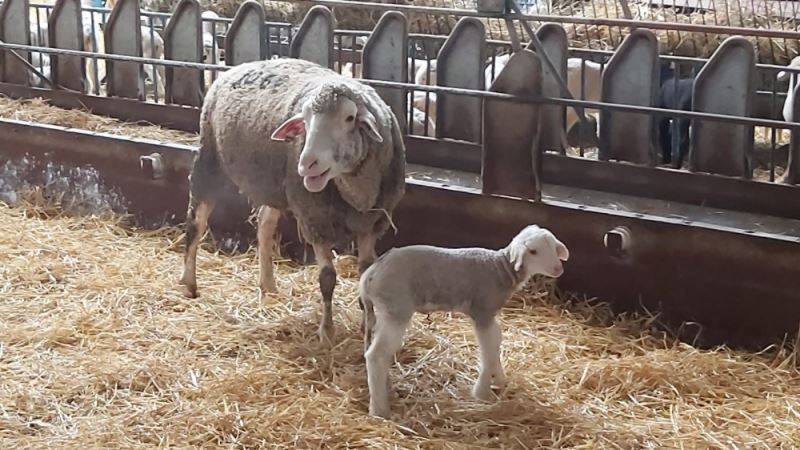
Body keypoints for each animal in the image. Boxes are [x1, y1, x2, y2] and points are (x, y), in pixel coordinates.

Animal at [181, 58, 406, 342]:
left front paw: (369, 327)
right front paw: (326, 331)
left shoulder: (372, 224)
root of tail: (240, 66)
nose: (306, 164)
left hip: (273, 186)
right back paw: (189, 283)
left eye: (349, 118)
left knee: (264, 225)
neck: (356, 192)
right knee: (195, 224)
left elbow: (366, 274)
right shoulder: (315, 221)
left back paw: (268, 284)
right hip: (209, 156)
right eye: (305, 121)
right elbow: (327, 278)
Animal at [360, 224, 572, 418]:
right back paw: (379, 410)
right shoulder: (482, 312)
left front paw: (500, 380)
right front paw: (483, 393)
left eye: (554, 247)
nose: (558, 269)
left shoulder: (489, 314)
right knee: (376, 355)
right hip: (397, 308)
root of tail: (369, 276)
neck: (500, 268)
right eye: (533, 251)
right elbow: (487, 349)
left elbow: (496, 342)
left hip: (385, 311)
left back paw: (387, 391)